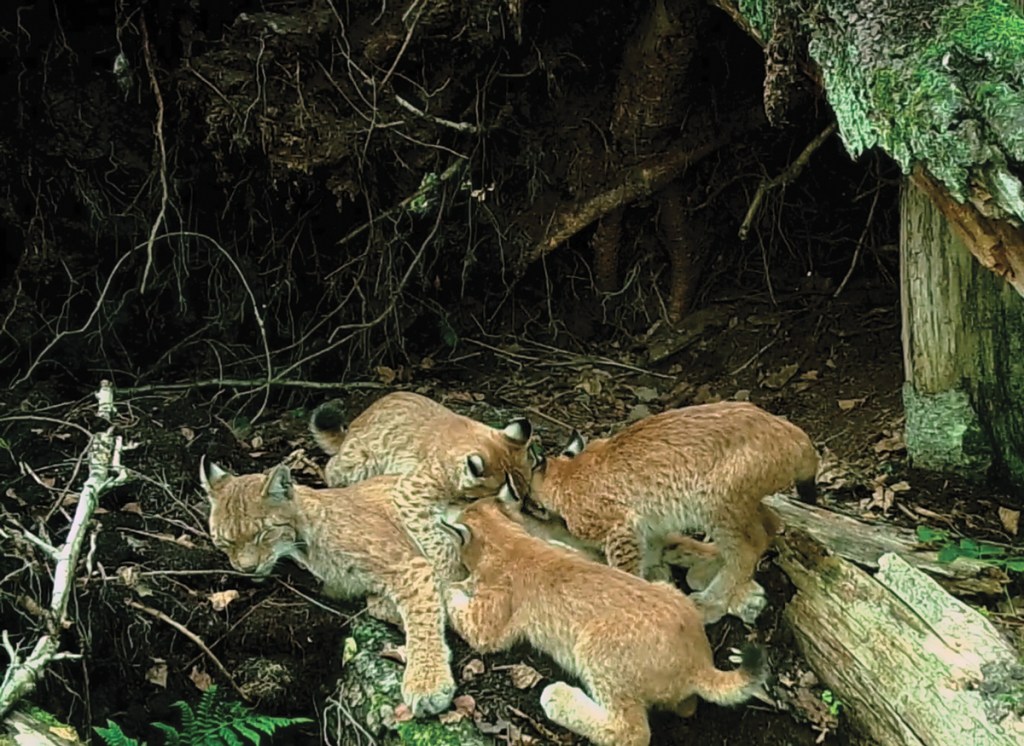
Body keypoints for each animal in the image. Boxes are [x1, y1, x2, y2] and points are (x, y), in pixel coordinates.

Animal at [439, 498, 767, 746]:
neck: (509, 539)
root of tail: (700, 661)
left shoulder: (486, 629)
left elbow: (455, 602)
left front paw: (450, 585)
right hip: (671, 593)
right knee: (686, 707)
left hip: (594, 647)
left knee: (633, 733)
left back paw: (557, 697)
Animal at [508, 401, 817, 623]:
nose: (524, 503)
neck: (566, 472)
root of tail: (792, 430)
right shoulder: (645, 525)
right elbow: (654, 549)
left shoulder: (619, 526)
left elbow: (626, 569)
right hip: (741, 502)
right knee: (771, 524)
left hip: (715, 501)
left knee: (748, 547)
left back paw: (710, 602)